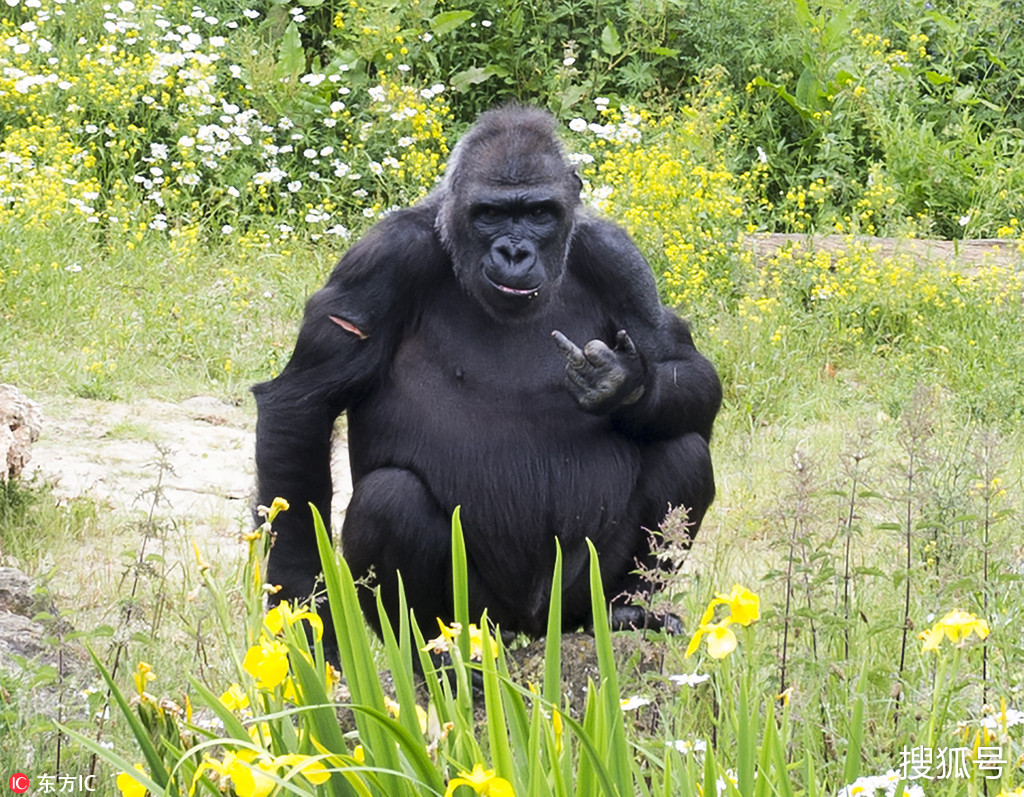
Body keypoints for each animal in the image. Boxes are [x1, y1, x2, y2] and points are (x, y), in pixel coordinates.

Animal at [253, 105, 720, 651]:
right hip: (481, 615)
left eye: (538, 213)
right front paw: (302, 608)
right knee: (390, 500)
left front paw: (622, 384)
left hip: (570, 602)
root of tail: (531, 629)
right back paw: (433, 652)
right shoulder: (384, 258)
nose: (514, 254)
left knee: (683, 449)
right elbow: (302, 403)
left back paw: (625, 610)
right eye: (490, 213)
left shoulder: (619, 259)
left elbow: (687, 367)